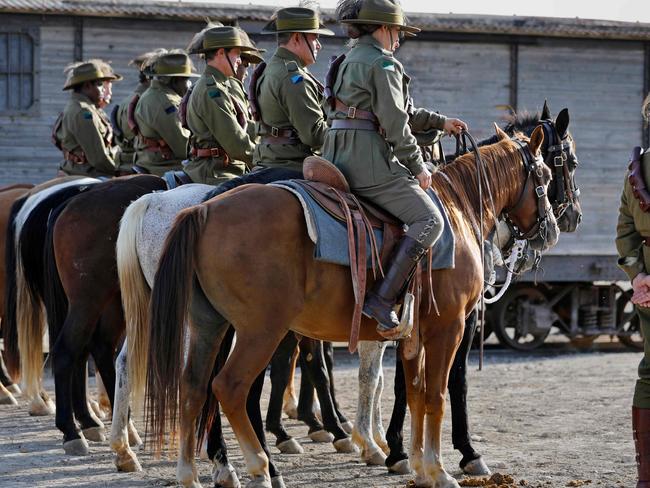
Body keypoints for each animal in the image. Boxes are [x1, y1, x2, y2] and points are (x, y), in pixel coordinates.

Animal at [146, 127, 556, 488]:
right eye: (551, 172)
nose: (551, 230)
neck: (456, 211)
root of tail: (204, 210)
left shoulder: (413, 335)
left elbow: (415, 394)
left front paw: (417, 466)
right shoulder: (449, 327)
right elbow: (437, 395)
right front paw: (440, 470)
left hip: (210, 326)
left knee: (193, 386)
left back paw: (191, 473)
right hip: (259, 332)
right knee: (231, 388)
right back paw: (261, 469)